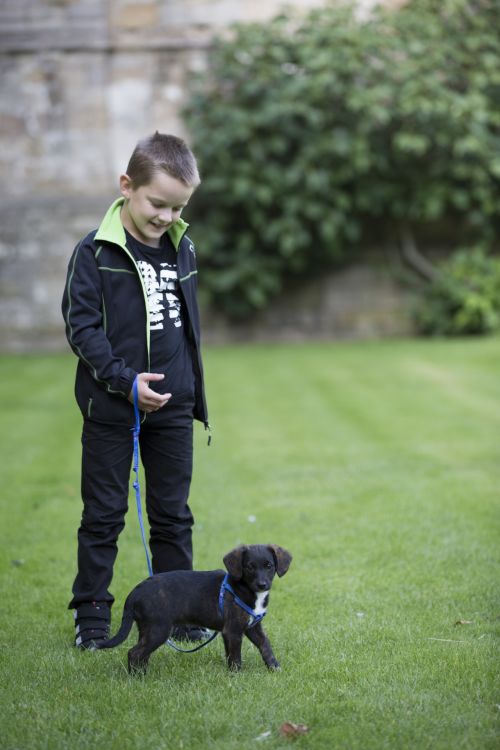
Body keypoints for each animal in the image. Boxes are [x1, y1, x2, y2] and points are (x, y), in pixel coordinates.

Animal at [95, 544, 292, 672]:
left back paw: (142, 673)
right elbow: (235, 656)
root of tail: (135, 591)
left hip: (146, 629)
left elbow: (264, 645)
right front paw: (236, 675)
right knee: (134, 653)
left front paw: (274, 667)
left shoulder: (251, 627)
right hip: (158, 629)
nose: (262, 585)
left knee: (141, 653)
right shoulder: (233, 630)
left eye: (269, 566)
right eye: (249, 567)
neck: (247, 590)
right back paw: (138, 678)